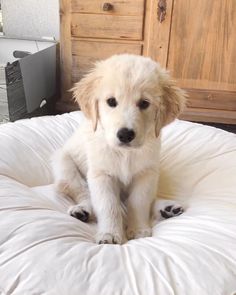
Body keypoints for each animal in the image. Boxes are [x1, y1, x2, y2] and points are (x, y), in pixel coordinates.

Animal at [53, 53, 186, 245]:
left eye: (144, 103)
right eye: (111, 101)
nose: (125, 135)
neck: (125, 153)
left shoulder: (146, 174)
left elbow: (139, 202)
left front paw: (138, 229)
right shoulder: (101, 174)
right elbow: (108, 205)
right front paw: (109, 234)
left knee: (149, 199)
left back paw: (167, 208)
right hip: (65, 166)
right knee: (84, 193)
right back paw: (82, 210)